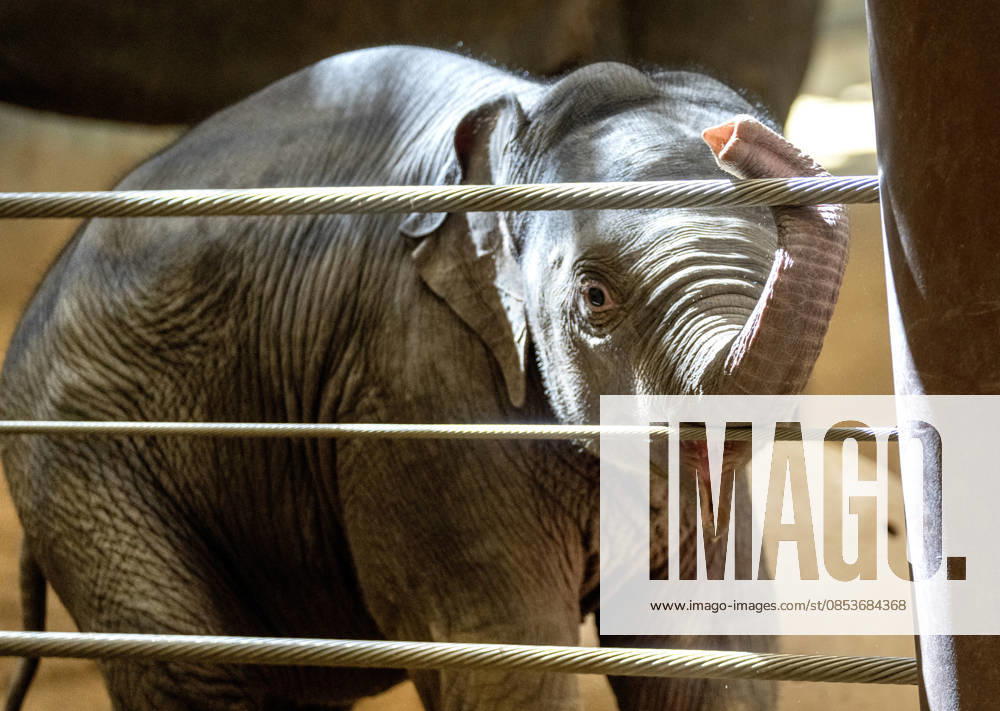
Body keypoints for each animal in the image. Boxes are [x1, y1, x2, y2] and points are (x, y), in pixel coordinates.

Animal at [0, 46, 848, 710]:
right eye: (594, 296)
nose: (738, 138)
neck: (524, 115)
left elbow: (710, 656)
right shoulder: (412, 380)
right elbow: (506, 657)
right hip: (88, 461)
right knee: (196, 674)